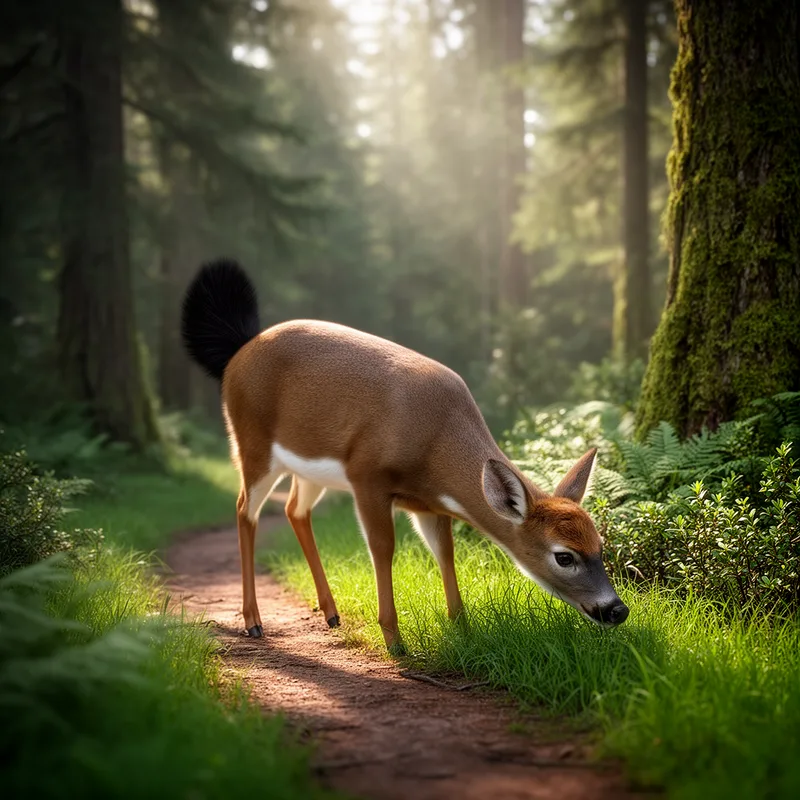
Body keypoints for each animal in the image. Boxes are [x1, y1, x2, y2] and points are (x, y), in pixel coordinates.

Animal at [181, 259, 629, 652]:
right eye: (564, 556)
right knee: (245, 509)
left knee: (294, 509)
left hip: (306, 470)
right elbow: (383, 548)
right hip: (251, 441)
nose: (617, 610)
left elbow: (445, 553)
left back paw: (331, 613)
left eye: (599, 544)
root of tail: (238, 352)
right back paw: (254, 621)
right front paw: (395, 640)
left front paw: (463, 629)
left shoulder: (429, 504)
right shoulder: (367, 475)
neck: (435, 440)